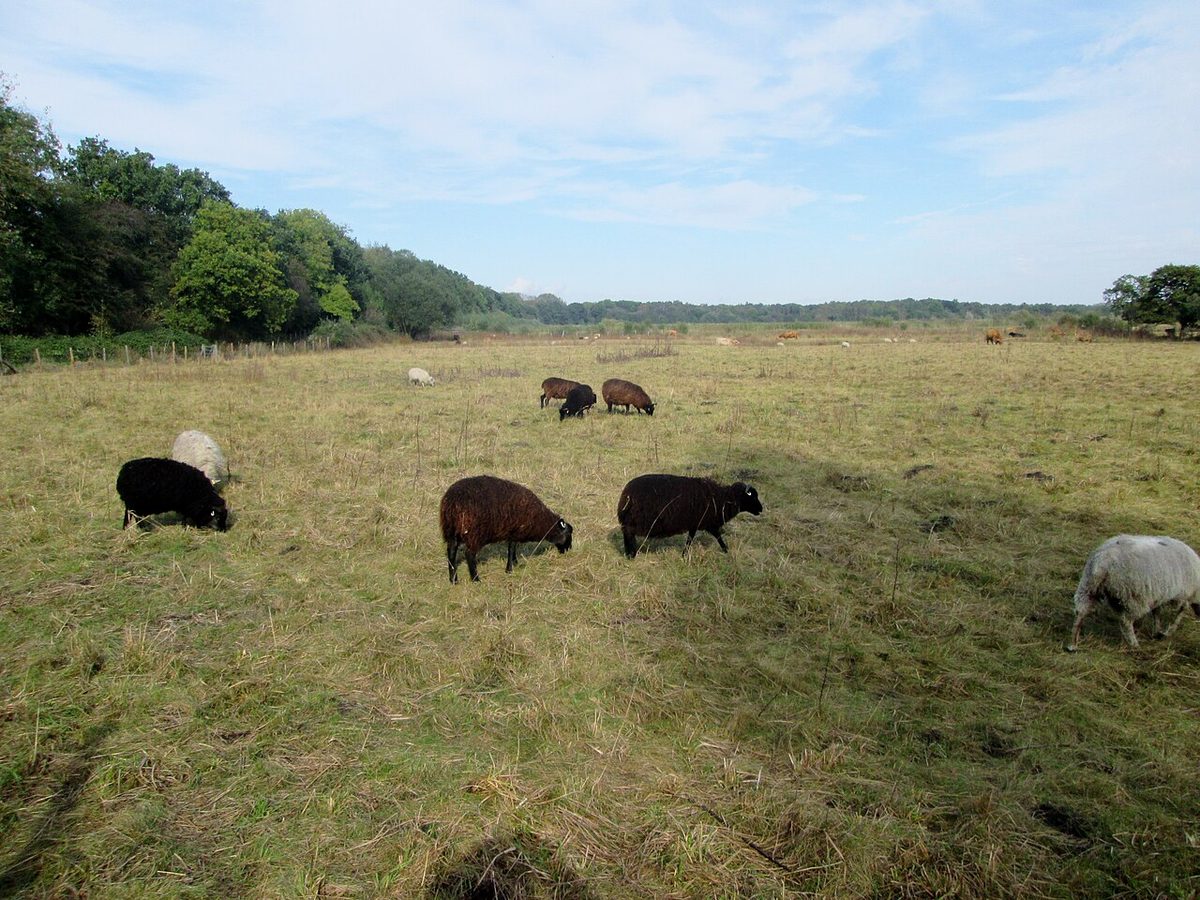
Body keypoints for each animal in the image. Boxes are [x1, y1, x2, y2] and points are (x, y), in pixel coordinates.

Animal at [439, 475, 573, 582]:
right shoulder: (515, 531)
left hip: (451, 530)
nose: (568, 550)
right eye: (568, 534)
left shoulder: (513, 532)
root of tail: (453, 501)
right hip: (474, 532)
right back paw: (476, 579)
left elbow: (513, 548)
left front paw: (515, 563)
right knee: (469, 554)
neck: (540, 521)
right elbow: (511, 548)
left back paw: (453, 579)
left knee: (451, 552)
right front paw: (509, 569)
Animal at [617, 474, 762, 558]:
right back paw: (630, 554)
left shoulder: (695, 523)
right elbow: (717, 536)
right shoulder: (708, 522)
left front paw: (684, 554)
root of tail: (626, 494)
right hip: (635, 520)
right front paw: (726, 550)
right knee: (628, 533)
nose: (761, 509)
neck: (722, 500)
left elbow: (690, 539)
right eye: (752, 497)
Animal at [1066, 535, 1200, 651]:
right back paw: (1134, 644)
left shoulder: (1159, 596)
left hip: (1088, 586)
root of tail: (1103, 562)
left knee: (1080, 612)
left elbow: (1157, 612)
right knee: (1126, 621)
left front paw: (1157, 630)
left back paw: (1073, 644)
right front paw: (1166, 632)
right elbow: (1179, 613)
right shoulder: (1184, 596)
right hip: (1133, 595)